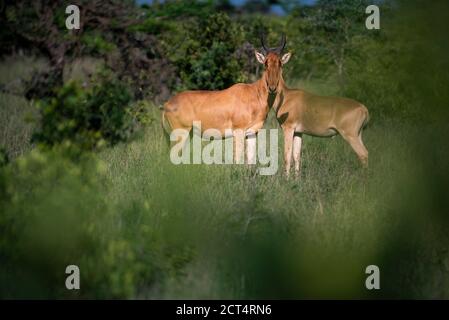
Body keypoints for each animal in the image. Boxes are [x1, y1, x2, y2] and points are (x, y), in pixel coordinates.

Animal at [163, 35, 292, 162]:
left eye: (280, 63)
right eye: (265, 63)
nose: (272, 88)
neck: (255, 93)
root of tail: (167, 104)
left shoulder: (251, 133)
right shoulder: (238, 132)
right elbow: (237, 160)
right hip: (181, 133)